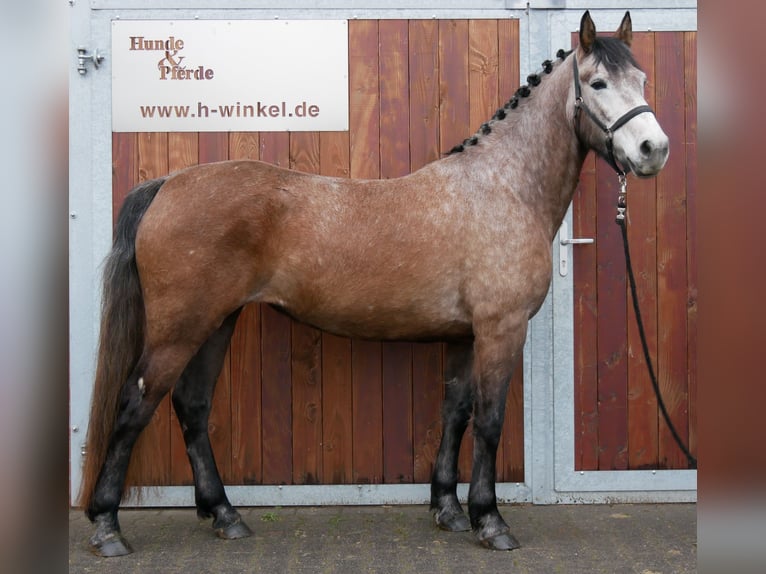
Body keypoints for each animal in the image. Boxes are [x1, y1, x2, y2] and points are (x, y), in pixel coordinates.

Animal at [79, 11, 669, 555]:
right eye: (598, 83)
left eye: (642, 80)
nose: (653, 150)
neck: (503, 187)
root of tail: (167, 183)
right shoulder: (500, 331)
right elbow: (489, 420)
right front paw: (490, 521)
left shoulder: (463, 336)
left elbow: (455, 413)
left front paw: (448, 510)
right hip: (180, 329)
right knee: (135, 405)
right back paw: (107, 527)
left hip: (217, 321)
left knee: (192, 406)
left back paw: (225, 515)